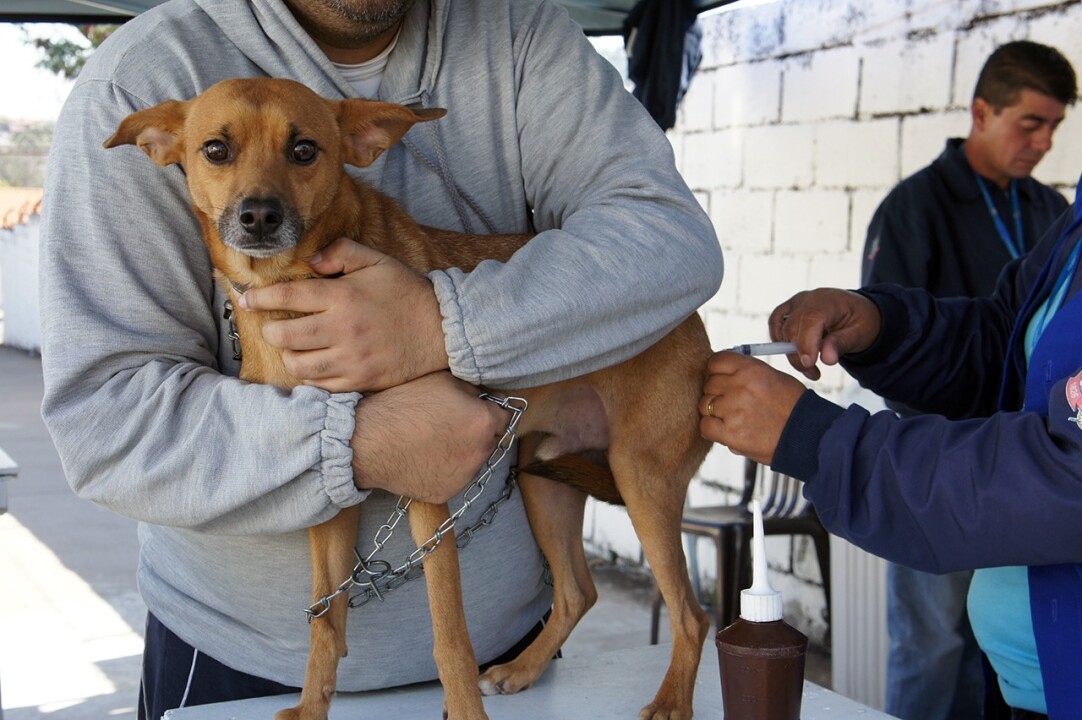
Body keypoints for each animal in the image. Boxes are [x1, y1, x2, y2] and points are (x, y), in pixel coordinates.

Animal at [105, 78, 714, 718]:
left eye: (304, 150)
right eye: (216, 150)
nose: (260, 216)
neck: (288, 291)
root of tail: (695, 325)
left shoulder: (427, 493)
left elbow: (449, 636)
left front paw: (465, 711)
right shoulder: (331, 493)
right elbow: (326, 623)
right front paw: (312, 706)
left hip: (641, 479)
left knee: (691, 615)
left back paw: (671, 701)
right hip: (543, 477)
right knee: (577, 591)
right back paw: (522, 671)